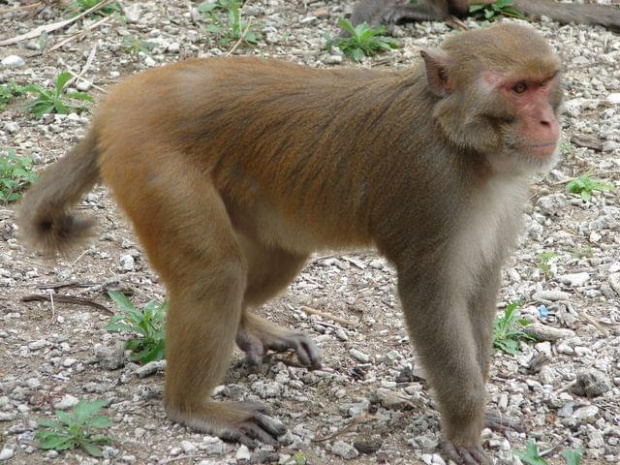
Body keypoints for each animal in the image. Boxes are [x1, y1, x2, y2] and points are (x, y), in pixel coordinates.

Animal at [18, 24, 560, 464]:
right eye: (517, 89)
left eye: (546, 85)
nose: (549, 123)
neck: (462, 145)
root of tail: (120, 100)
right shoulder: (433, 189)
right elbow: (429, 294)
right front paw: (465, 425)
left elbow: (480, 287)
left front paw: (479, 409)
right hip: (152, 160)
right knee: (216, 273)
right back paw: (192, 407)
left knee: (279, 253)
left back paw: (246, 324)